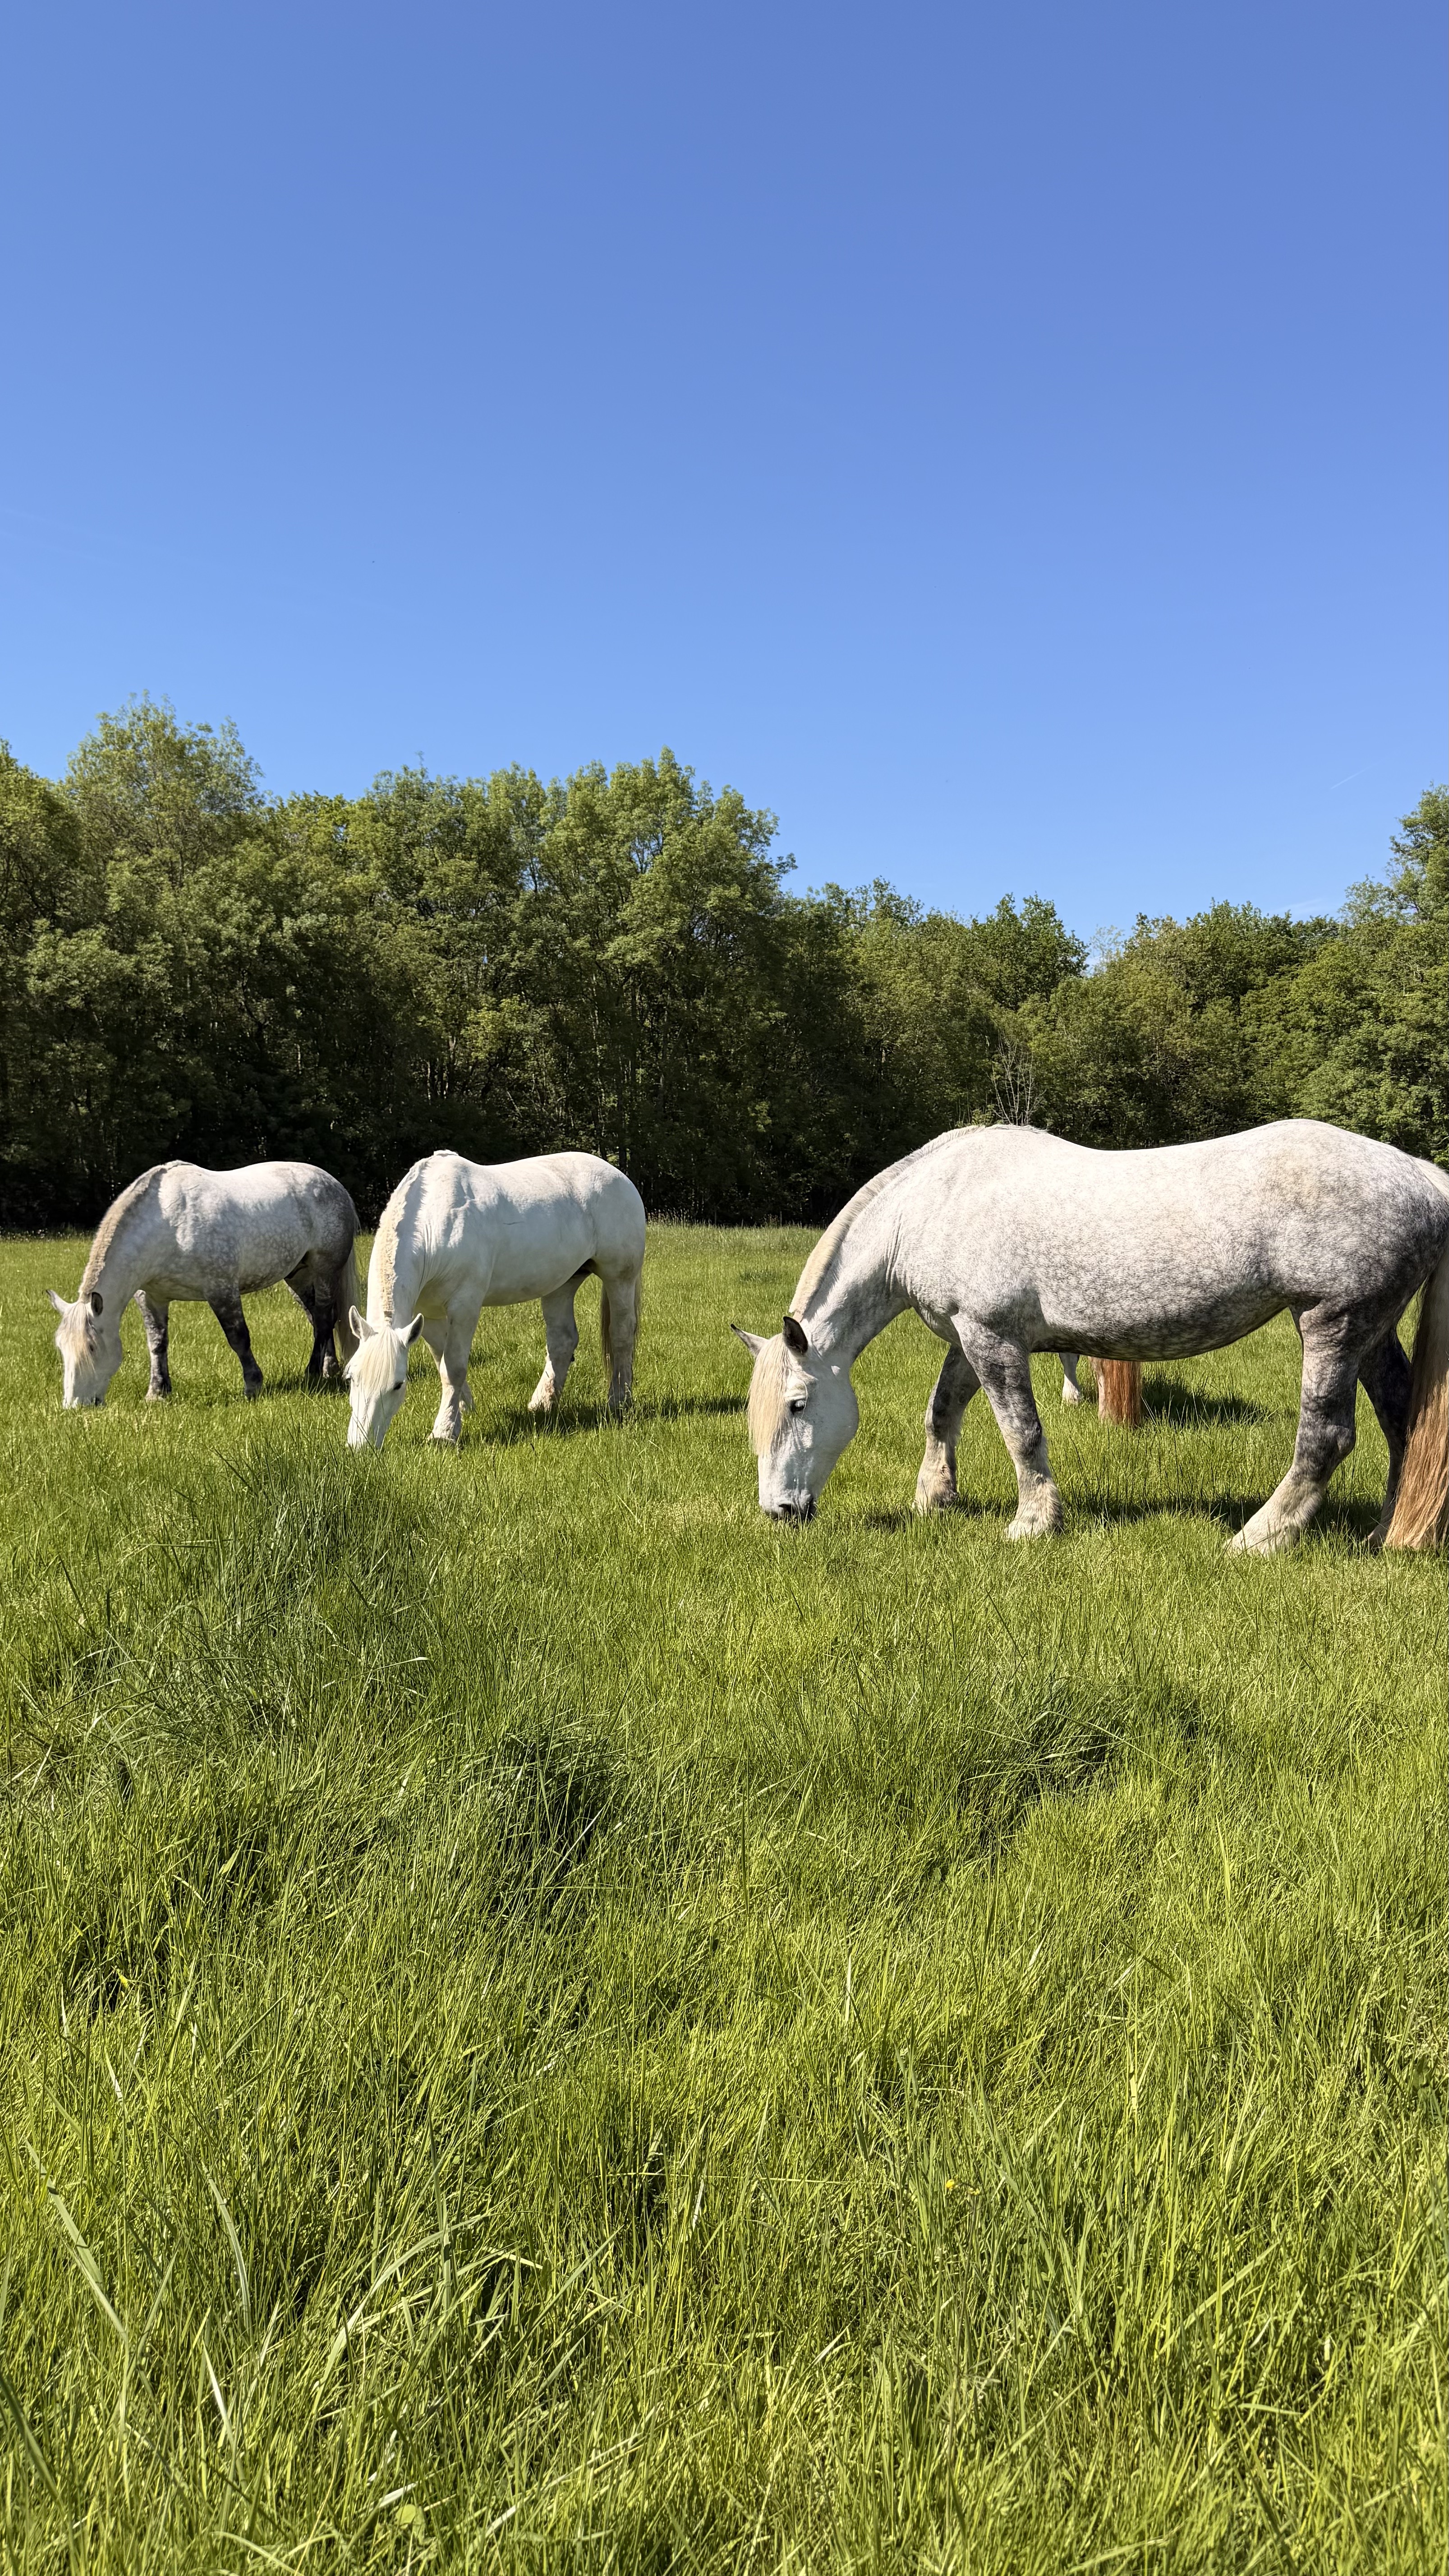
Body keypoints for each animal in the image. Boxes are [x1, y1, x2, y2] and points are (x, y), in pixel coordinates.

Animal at [47, 1159, 359, 1408]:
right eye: (61, 1348)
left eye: (91, 1348)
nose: (75, 1405)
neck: (167, 1225)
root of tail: (335, 1185)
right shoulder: (152, 1297)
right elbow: (157, 1343)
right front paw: (157, 1393)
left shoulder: (221, 1290)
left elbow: (239, 1338)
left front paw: (253, 1386)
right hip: (298, 1275)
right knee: (318, 1317)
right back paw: (329, 1368)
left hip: (325, 1269)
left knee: (323, 1317)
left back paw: (313, 1373)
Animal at [344, 1149, 646, 1450]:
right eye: (351, 1378)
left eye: (398, 1385)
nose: (361, 1446)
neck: (434, 1225)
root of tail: (620, 1177)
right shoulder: (428, 1316)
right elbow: (442, 1362)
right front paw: (462, 1411)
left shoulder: (465, 1308)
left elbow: (453, 1368)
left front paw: (444, 1432)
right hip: (562, 1284)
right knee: (562, 1341)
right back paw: (542, 1404)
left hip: (620, 1277)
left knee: (621, 1334)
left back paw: (619, 1401)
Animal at [733, 1120, 1449, 1553]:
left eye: (798, 1405)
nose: (779, 1511)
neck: (933, 1204)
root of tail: (1420, 1173)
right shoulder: (970, 1339)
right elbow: (941, 1413)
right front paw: (933, 1499)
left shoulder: (992, 1339)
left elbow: (1021, 1431)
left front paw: (1031, 1523)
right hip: (1371, 1331)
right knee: (1401, 1424)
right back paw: (1384, 1534)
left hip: (1331, 1323)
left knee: (1327, 1437)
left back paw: (1258, 1539)